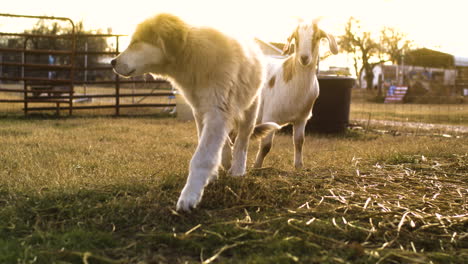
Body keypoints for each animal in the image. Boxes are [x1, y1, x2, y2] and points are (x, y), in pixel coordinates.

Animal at [110, 13, 278, 212]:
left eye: (136, 41)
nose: (112, 62)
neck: (192, 57)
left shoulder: (217, 111)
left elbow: (202, 156)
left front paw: (189, 195)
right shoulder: (200, 110)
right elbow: (207, 145)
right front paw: (211, 175)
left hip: (250, 108)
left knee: (242, 142)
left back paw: (237, 170)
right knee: (227, 141)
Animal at [254, 20, 338, 169]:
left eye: (316, 37)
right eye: (296, 38)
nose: (304, 58)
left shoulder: (301, 118)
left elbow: (299, 141)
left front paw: (299, 166)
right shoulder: (270, 116)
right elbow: (266, 146)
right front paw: (257, 167)